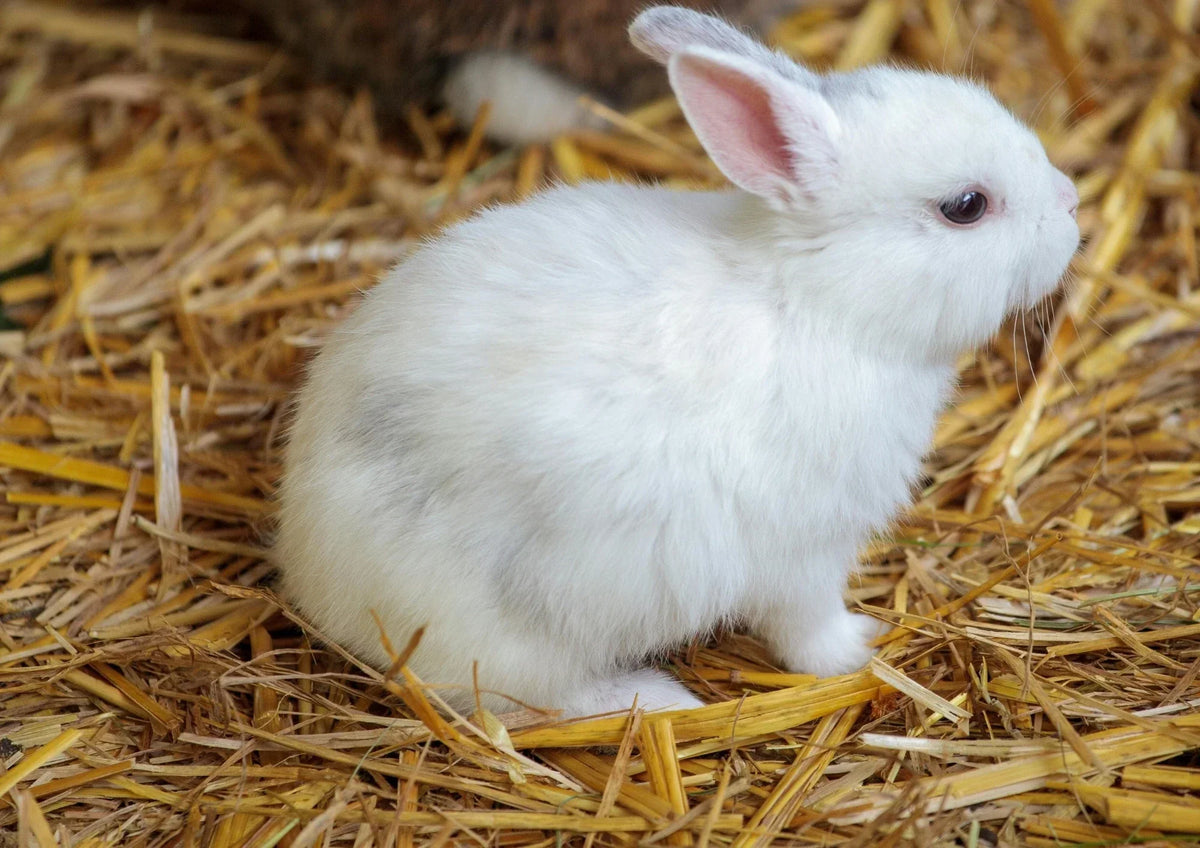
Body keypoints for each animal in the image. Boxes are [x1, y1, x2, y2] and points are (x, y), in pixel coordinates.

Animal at [276, 5, 1080, 718]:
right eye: (965, 206)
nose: (1071, 204)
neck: (815, 301)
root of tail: (310, 571)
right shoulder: (805, 554)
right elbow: (807, 628)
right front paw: (860, 648)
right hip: (515, 633)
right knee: (521, 702)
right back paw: (652, 698)